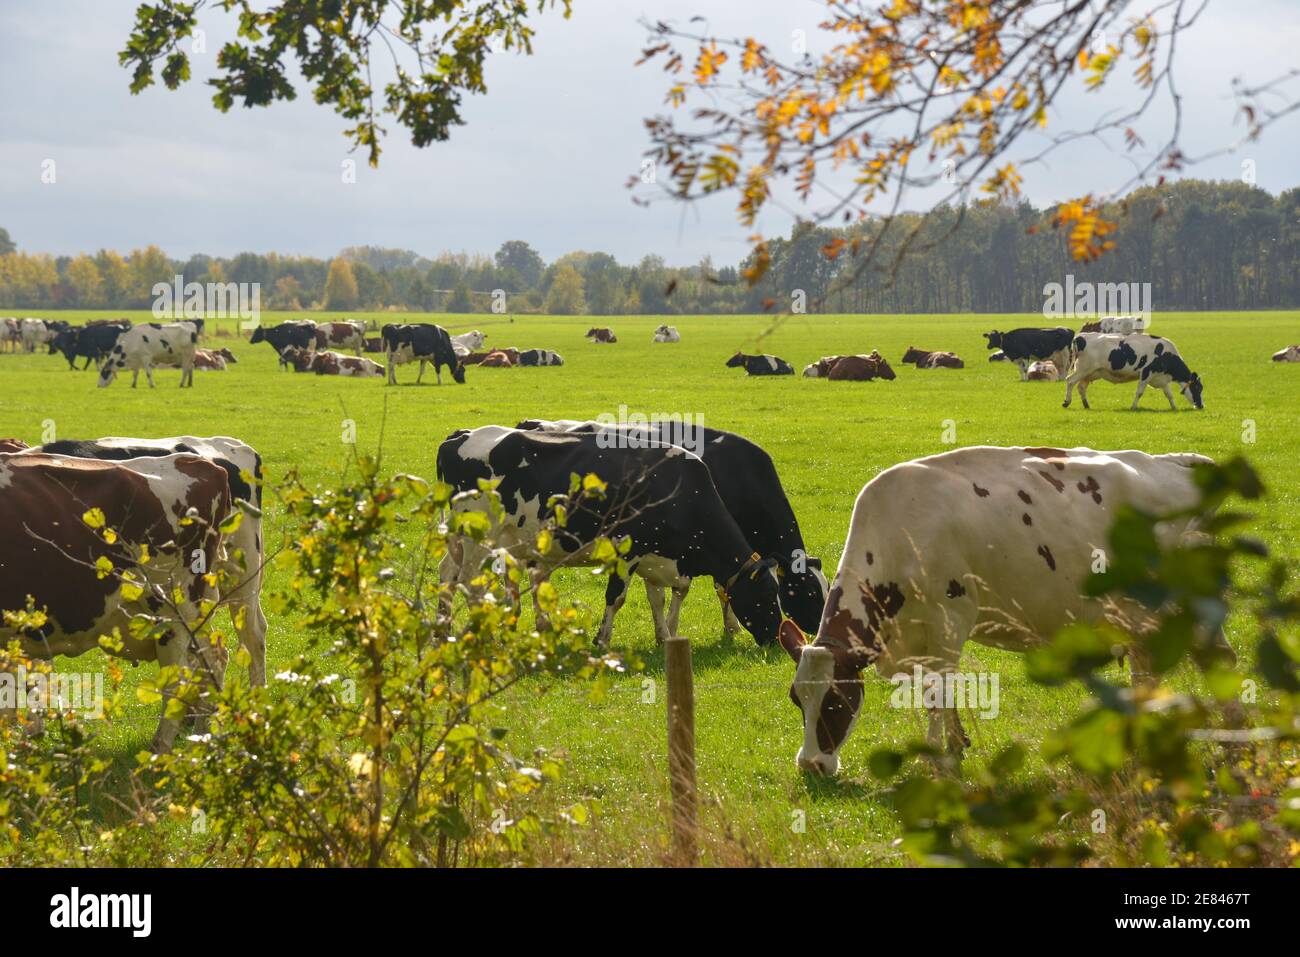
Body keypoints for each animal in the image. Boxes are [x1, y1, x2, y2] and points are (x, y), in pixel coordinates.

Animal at [1, 447, 233, 748]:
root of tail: (197, 462)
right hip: (195, 613)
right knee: (212, 659)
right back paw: (202, 735)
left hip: (174, 611)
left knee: (178, 680)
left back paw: (161, 748)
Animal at [436, 426, 780, 650]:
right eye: (766, 595)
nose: (777, 638)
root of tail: (459, 436)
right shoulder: (626, 550)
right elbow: (617, 597)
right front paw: (601, 640)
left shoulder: (654, 556)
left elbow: (658, 598)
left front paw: (664, 637)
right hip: (478, 537)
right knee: (468, 583)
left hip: (463, 537)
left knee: (447, 573)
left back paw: (444, 629)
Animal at [774, 449, 1232, 780]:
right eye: (797, 699)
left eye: (835, 702)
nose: (810, 765)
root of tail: (1173, 462)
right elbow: (936, 692)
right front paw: (955, 745)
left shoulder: (948, 622)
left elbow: (938, 692)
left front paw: (936, 759)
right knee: (1146, 673)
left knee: (1220, 662)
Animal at [1060, 332, 1201, 410]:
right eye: (1197, 388)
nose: (1201, 406)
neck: (1166, 354)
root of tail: (1081, 336)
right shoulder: (1146, 373)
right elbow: (1139, 392)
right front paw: (1133, 407)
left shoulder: (1161, 378)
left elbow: (1169, 395)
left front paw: (1174, 407)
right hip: (1083, 369)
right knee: (1070, 381)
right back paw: (1067, 402)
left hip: (1090, 373)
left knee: (1081, 387)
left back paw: (1086, 405)